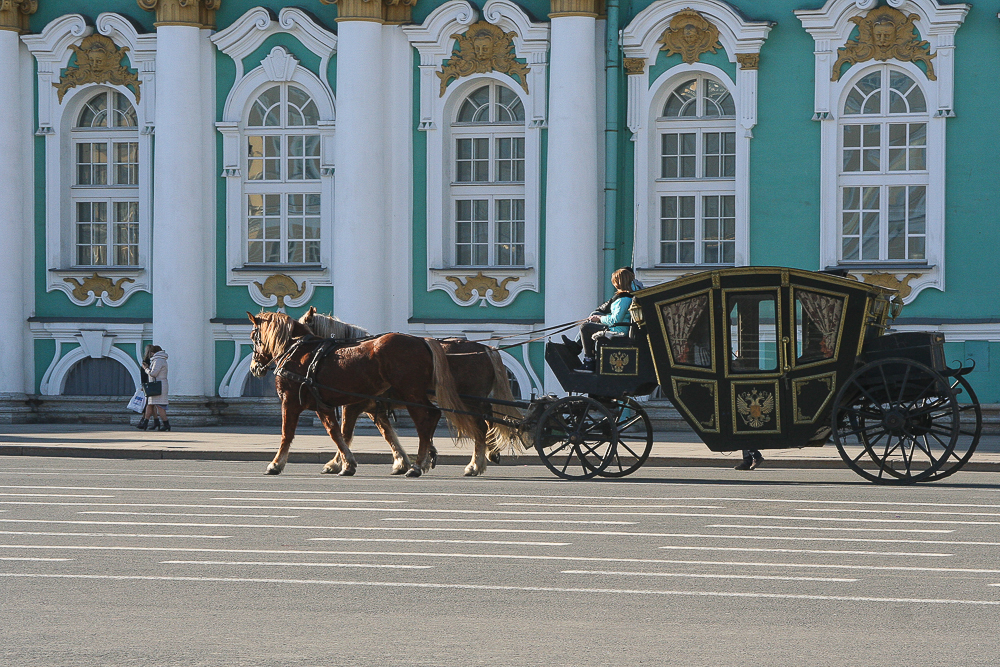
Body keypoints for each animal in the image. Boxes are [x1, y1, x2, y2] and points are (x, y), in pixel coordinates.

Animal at [248, 310, 478, 478]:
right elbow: (342, 433)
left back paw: (422, 464)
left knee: (428, 421)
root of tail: (422, 340)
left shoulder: (291, 402)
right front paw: (348, 463)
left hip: (412, 395)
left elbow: (289, 434)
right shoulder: (330, 405)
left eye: (253, 336)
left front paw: (276, 464)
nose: (254, 367)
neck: (302, 351)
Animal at [300, 308, 528, 474]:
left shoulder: (353, 405)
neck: (353, 354)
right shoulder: (374, 408)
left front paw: (336, 463)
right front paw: (404, 461)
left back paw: (474, 465)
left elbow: (344, 434)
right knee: (489, 422)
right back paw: (490, 454)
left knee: (481, 426)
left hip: (469, 400)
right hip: (477, 400)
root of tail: (486, 348)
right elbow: (387, 433)